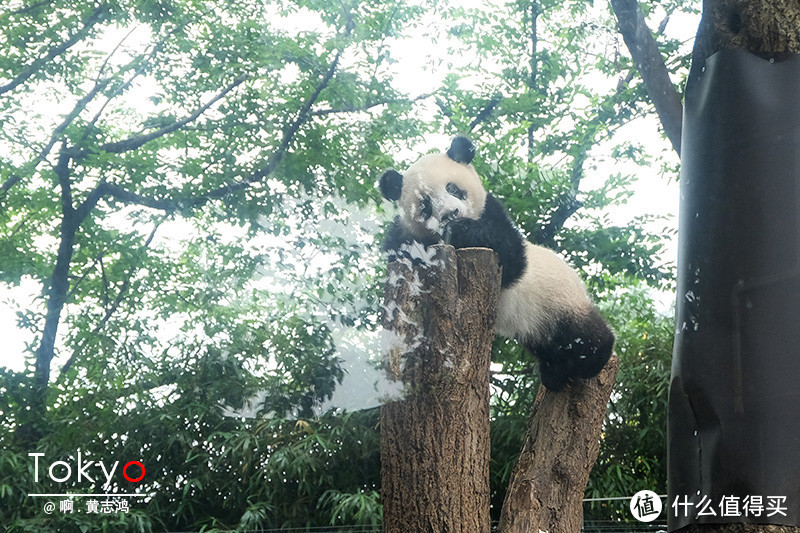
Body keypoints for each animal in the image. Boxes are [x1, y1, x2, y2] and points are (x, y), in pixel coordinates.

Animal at [378, 135, 616, 388]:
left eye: (453, 189)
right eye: (426, 204)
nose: (451, 214)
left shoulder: (492, 213)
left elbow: (511, 258)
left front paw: (460, 230)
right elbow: (398, 248)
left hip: (559, 301)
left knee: (585, 337)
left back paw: (593, 358)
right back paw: (555, 373)